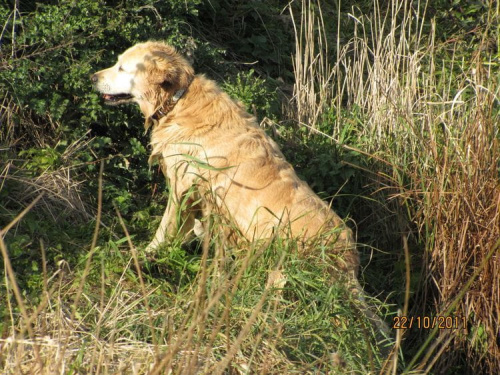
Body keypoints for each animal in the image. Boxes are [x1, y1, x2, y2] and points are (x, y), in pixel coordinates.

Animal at [92, 41, 360, 280]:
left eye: (122, 68)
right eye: (117, 63)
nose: (92, 77)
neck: (179, 101)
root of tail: (351, 264)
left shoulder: (182, 185)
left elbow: (165, 228)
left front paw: (145, 254)